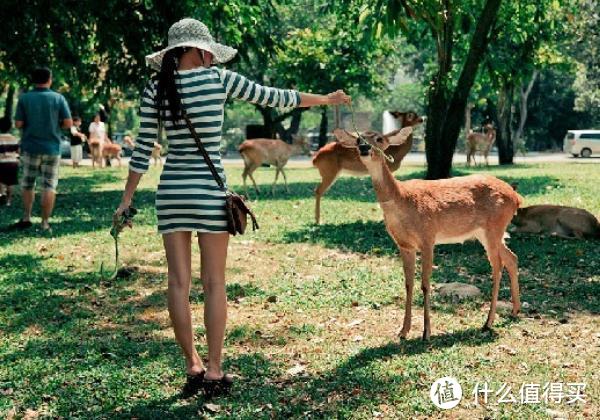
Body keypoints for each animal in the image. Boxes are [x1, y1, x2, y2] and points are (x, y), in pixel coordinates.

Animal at [332, 126, 520, 340]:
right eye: (357, 140)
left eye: (379, 138)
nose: (364, 147)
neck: (402, 199)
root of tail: (516, 198)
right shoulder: (404, 245)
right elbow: (408, 284)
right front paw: (403, 331)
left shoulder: (427, 237)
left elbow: (425, 284)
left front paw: (426, 332)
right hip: (487, 233)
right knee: (512, 258)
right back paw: (514, 311)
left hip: (494, 227)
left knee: (497, 267)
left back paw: (487, 322)